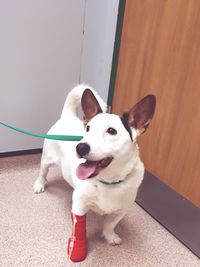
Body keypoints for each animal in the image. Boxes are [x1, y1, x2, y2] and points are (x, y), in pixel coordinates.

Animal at [33, 85, 156, 247]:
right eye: (88, 129)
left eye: (111, 131)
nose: (80, 147)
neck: (109, 182)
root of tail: (67, 116)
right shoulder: (79, 205)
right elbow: (77, 226)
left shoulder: (121, 210)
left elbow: (110, 224)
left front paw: (109, 236)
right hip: (47, 158)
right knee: (43, 172)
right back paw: (40, 184)